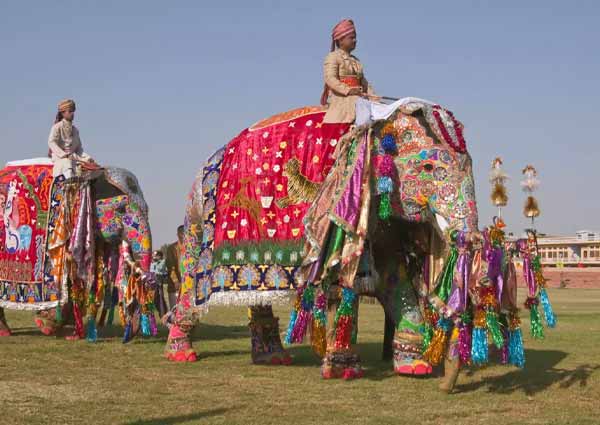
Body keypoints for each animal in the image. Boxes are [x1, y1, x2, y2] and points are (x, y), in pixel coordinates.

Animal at [0, 157, 154, 340]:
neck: (90, 173)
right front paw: (47, 324)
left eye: (148, 209)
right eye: (121, 209)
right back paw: (5, 332)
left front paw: (63, 330)